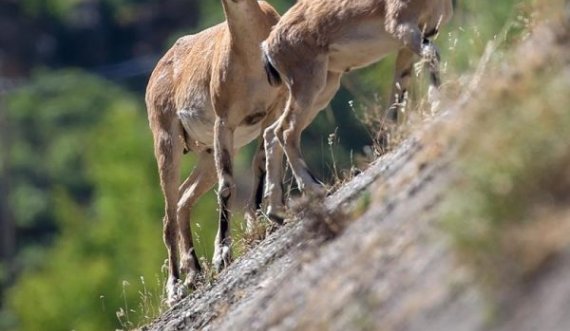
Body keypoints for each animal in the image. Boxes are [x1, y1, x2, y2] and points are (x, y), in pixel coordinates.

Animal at [144, 0, 282, 306]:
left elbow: (260, 163)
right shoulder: (224, 123)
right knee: (169, 215)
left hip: (207, 155)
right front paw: (223, 255)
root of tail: (154, 77)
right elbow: (227, 186)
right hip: (167, 144)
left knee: (183, 199)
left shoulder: (270, 112)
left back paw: (195, 272)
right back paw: (175, 289)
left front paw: (259, 222)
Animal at [262, 0, 452, 223]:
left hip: (326, 86)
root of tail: (268, 46)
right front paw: (439, 103)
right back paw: (315, 189)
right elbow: (431, 55)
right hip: (309, 83)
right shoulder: (403, 27)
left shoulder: (415, 38)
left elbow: (400, 86)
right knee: (285, 130)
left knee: (271, 133)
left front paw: (390, 137)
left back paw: (276, 211)